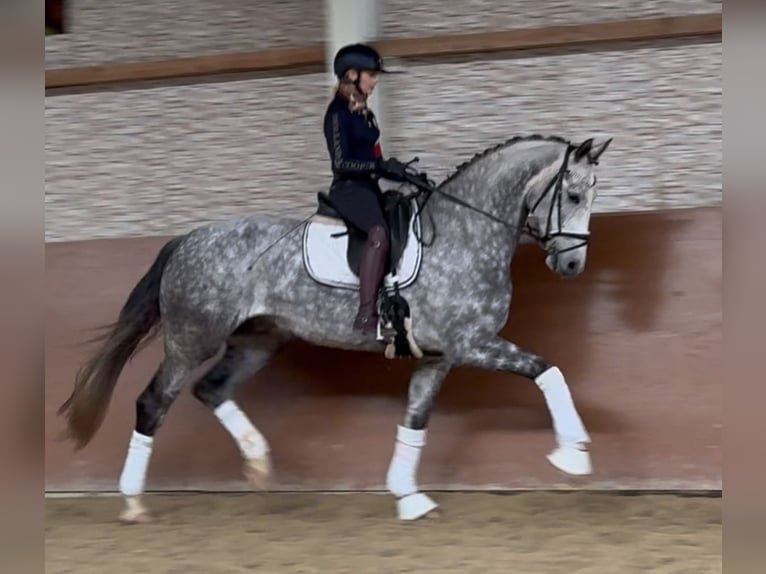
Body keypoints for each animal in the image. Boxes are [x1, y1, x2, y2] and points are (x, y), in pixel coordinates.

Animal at [57, 133, 616, 524]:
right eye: (571, 194)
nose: (572, 265)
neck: (466, 231)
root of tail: (186, 240)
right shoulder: (473, 344)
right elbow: (548, 371)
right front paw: (573, 455)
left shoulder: (440, 357)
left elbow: (415, 422)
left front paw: (407, 498)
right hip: (192, 340)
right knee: (154, 402)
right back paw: (133, 504)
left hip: (257, 341)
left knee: (210, 390)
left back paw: (259, 463)